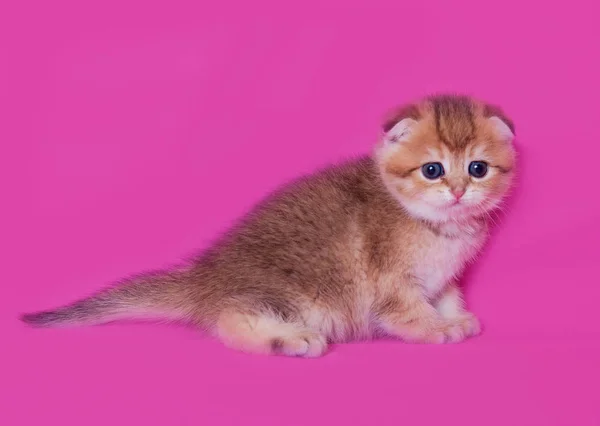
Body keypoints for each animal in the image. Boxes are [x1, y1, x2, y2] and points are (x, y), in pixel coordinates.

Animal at [18, 93, 516, 356]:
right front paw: (437, 329)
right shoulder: (391, 282)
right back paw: (292, 338)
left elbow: (448, 294)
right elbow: (409, 313)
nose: (458, 191)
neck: (439, 229)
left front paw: (456, 316)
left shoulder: (443, 277)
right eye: (433, 170)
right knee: (230, 321)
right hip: (297, 295)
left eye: (477, 169)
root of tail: (207, 278)